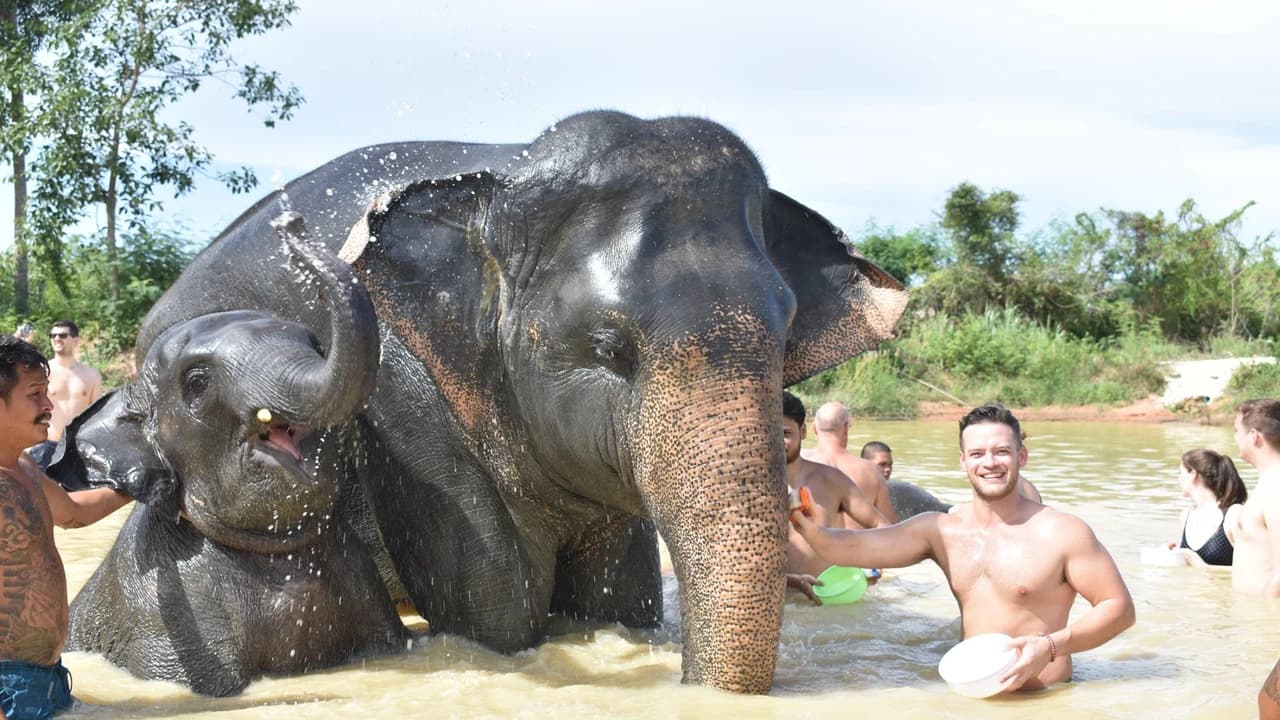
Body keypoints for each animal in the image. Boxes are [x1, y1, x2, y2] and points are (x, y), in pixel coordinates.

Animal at [127, 110, 908, 693]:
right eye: (608, 347)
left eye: (785, 333)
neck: (502, 182)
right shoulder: (407, 409)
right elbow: (499, 615)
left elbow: (618, 600)